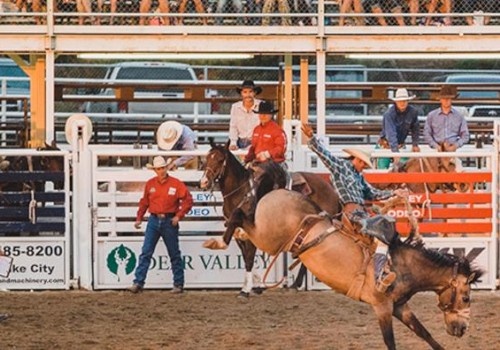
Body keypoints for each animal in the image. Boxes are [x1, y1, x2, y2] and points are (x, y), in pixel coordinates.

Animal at [199, 141, 340, 296]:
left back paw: (298, 283)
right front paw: (256, 283)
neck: (240, 192)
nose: (204, 182)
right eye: (207, 158)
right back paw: (296, 284)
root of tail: (332, 191)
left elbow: (249, 258)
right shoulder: (237, 233)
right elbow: (245, 257)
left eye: (220, 160)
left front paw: (246, 290)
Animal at [221, 190, 482, 348]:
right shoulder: (382, 307)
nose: (463, 328)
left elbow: (424, 333)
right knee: (238, 216)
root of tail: (275, 192)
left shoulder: (400, 306)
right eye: (466, 298)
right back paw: (221, 241)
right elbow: (390, 342)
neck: (404, 266)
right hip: (269, 239)